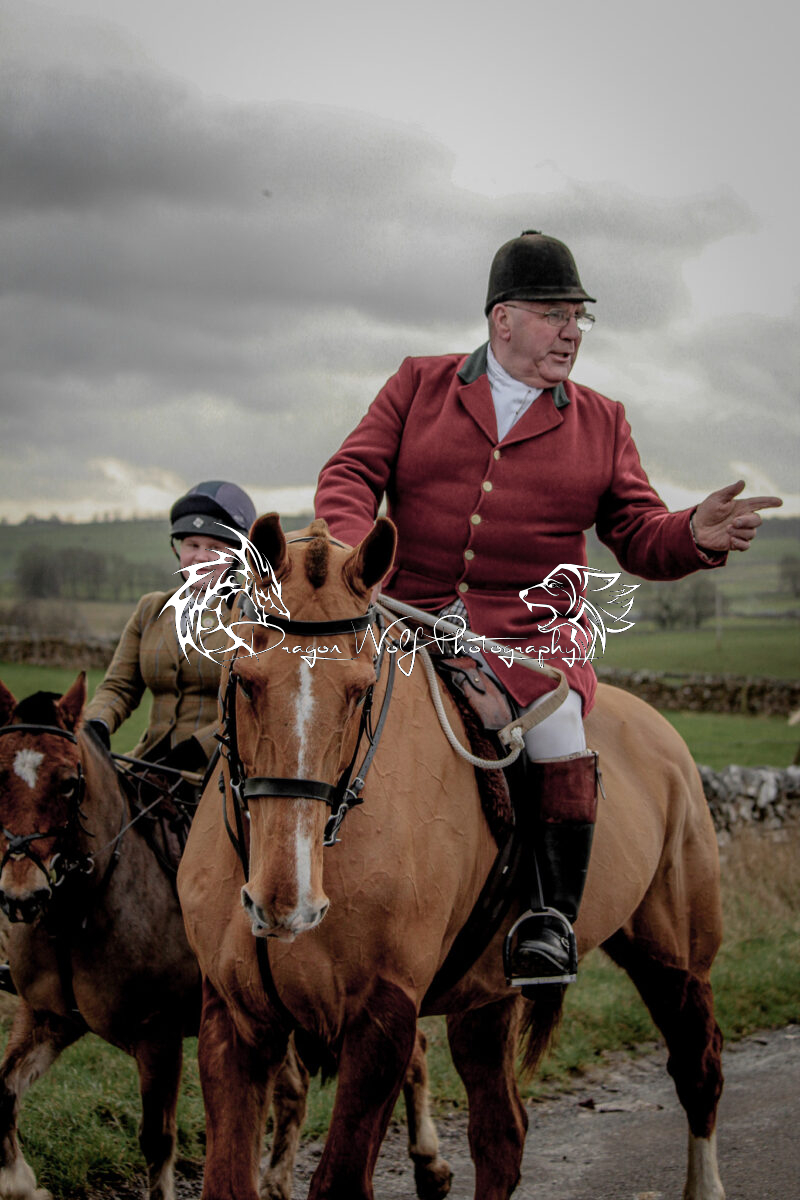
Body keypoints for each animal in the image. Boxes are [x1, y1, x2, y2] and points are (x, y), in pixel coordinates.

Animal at [178, 515, 726, 1200]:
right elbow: (228, 1180)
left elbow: (339, 1182)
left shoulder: (383, 1019)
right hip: (485, 996)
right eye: (246, 680)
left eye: (360, 692)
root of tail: (661, 730)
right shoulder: (233, 1018)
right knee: (501, 1135)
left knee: (699, 1068)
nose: (285, 903)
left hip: (673, 958)